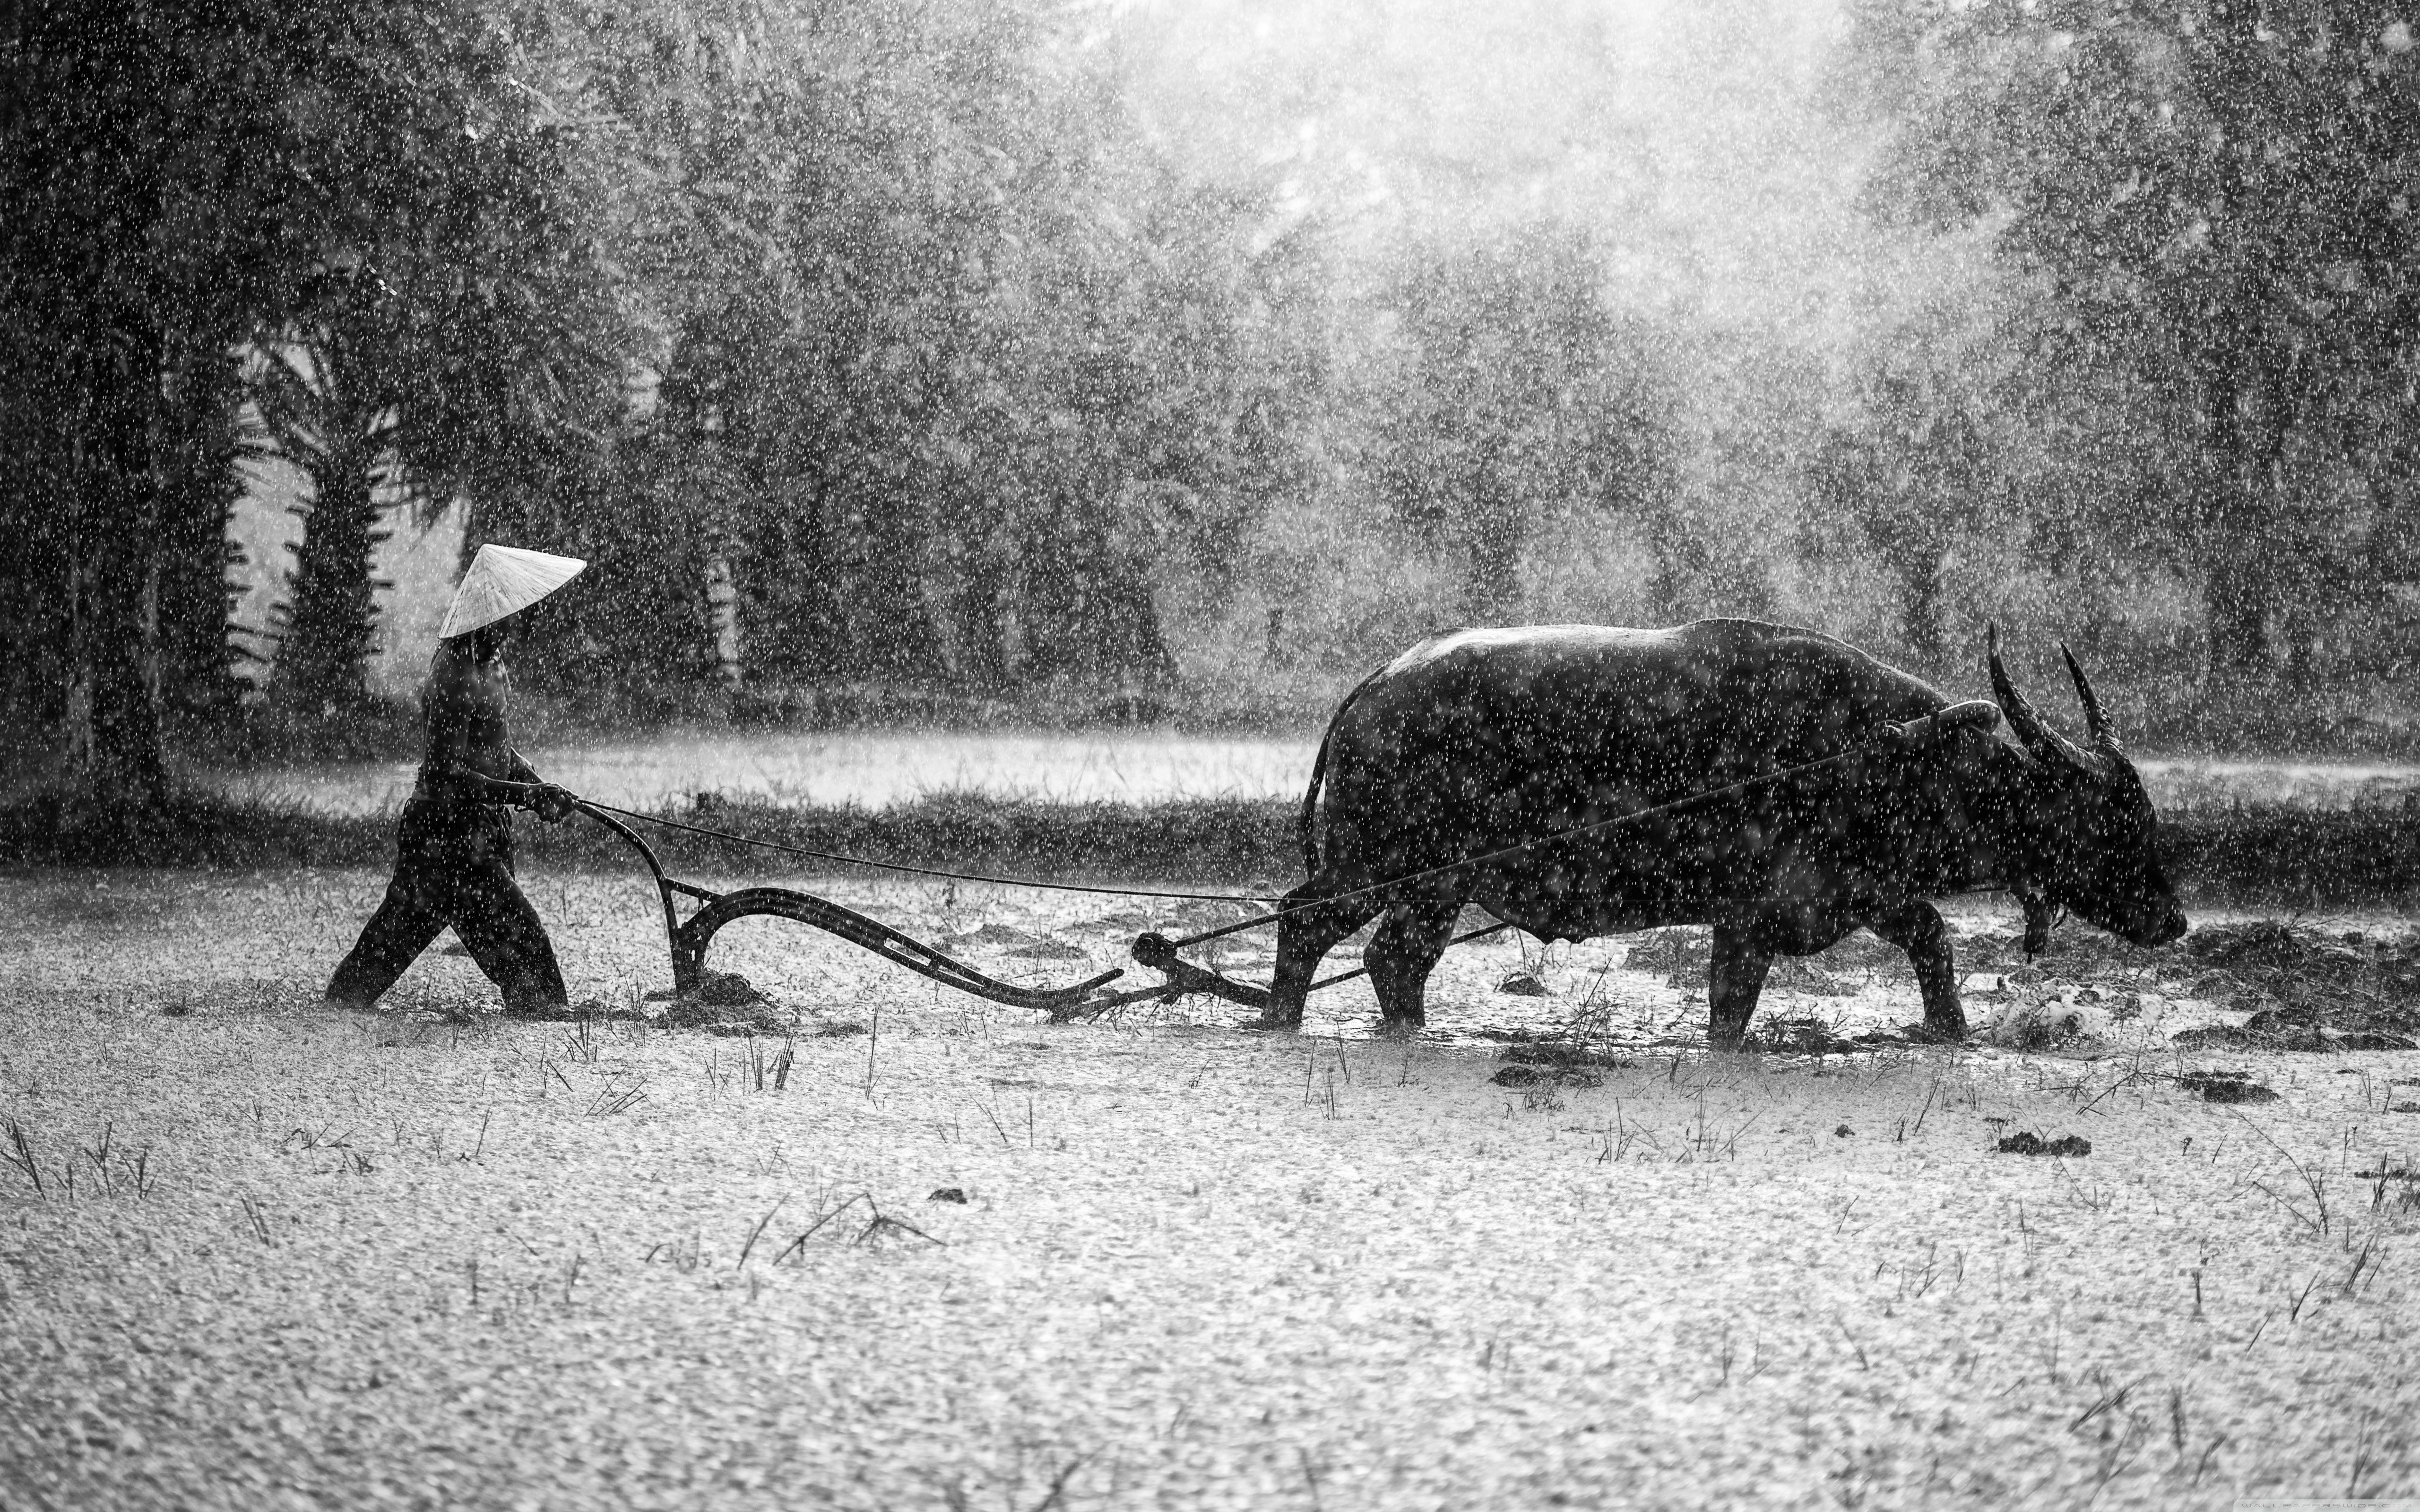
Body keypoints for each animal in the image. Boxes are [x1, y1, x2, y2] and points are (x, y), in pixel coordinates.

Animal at [1261, 618, 2186, 1048]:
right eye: (2116, 824)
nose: (2175, 918)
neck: (1880, 751)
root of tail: (1376, 684)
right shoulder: (1753, 915)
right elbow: (1732, 1005)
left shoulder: (1861, 896)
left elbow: (1933, 940)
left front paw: (1951, 1033)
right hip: (1383, 864)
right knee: (1304, 919)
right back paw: (1278, 1021)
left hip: (1439, 887)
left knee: (1395, 960)